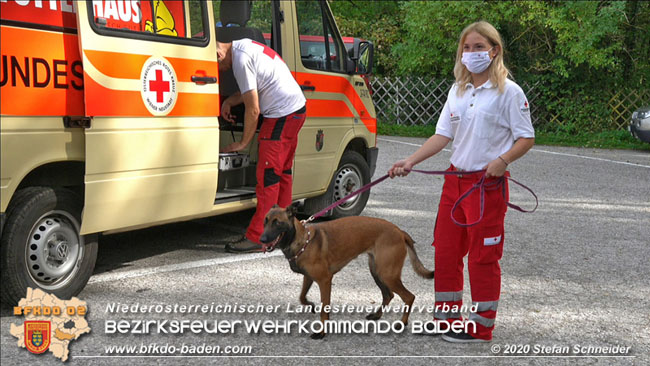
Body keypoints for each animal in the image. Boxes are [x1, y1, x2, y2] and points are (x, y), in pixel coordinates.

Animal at [256, 204, 430, 338]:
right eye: (265, 221)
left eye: (277, 223)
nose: (262, 239)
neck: (302, 240)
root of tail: (399, 231)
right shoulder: (308, 278)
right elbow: (302, 297)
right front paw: (311, 305)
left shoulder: (325, 281)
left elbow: (324, 309)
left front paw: (321, 332)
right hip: (377, 272)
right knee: (389, 295)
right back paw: (377, 315)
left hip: (387, 275)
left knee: (409, 297)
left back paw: (401, 324)